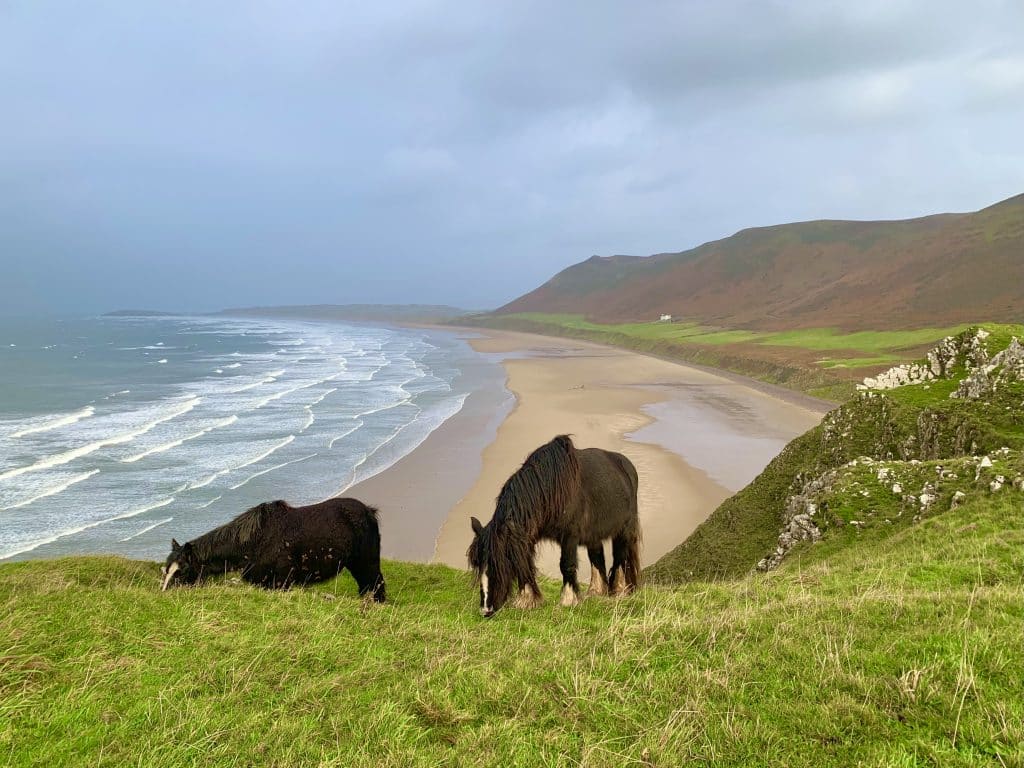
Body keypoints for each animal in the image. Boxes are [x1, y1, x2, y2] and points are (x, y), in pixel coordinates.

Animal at [161, 497, 386, 601]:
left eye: (183, 571)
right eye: (166, 570)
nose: (164, 593)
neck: (255, 540)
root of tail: (369, 511)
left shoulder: (281, 581)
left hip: (367, 562)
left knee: (376, 584)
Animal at [467, 434, 640, 617]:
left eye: (499, 564)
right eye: (478, 564)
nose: (486, 609)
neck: (550, 489)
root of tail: (627, 466)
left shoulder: (569, 536)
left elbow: (566, 565)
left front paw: (568, 600)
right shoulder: (526, 537)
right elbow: (525, 565)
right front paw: (527, 601)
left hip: (624, 530)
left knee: (620, 556)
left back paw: (620, 591)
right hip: (594, 534)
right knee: (597, 556)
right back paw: (596, 592)